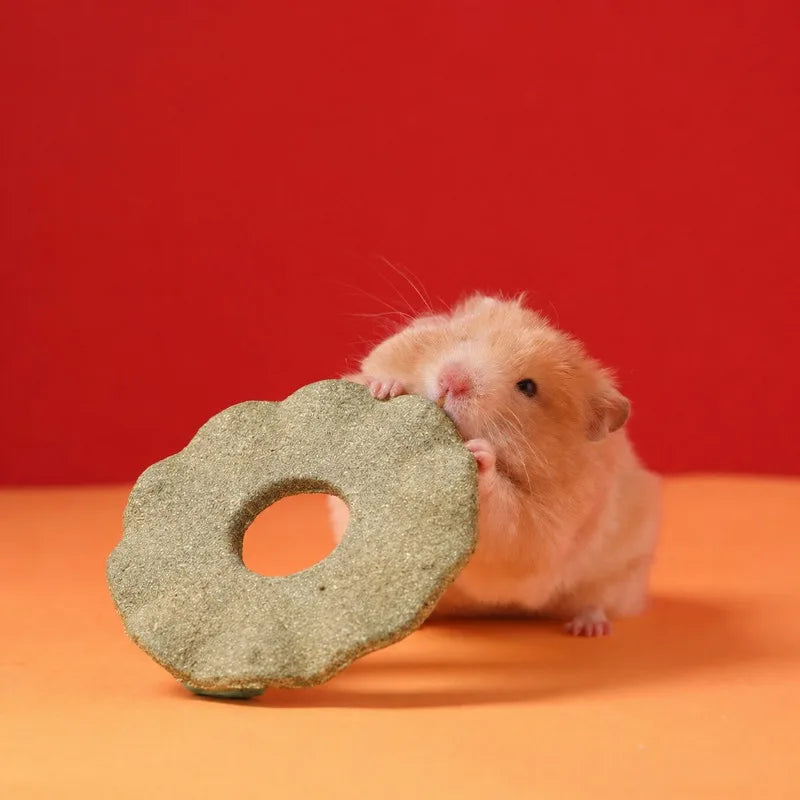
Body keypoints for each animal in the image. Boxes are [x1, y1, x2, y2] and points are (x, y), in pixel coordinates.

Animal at [329, 293, 660, 636]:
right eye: (465, 338)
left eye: (528, 387)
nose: (451, 382)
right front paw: (385, 387)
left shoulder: (542, 532)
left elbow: (508, 522)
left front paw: (480, 456)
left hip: (620, 577)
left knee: (597, 603)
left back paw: (588, 628)